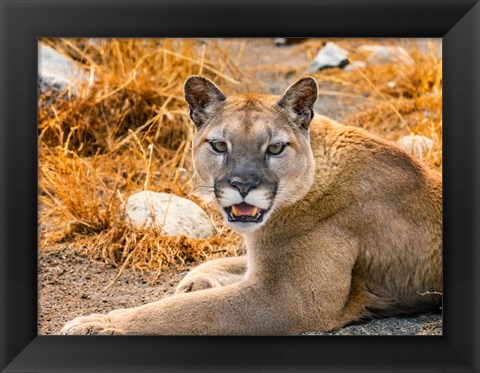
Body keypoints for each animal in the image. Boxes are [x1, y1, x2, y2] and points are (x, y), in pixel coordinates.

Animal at [61, 75, 442, 334]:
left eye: (274, 148)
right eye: (219, 145)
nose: (243, 185)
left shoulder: (289, 298)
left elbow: (184, 312)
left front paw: (98, 323)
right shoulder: (266, 266)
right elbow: (220, 265)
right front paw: (196, 282)